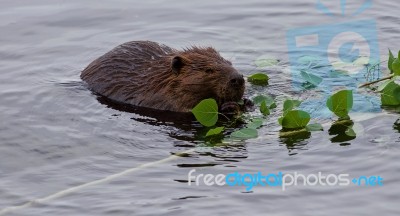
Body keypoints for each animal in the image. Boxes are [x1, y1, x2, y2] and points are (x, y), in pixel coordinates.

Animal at [81, 40, 247, 113]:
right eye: (209, 70)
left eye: (229, 62)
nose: (238, 79)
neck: (161, 80)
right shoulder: (160, 98)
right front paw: (228, 106)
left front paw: (247, 102)